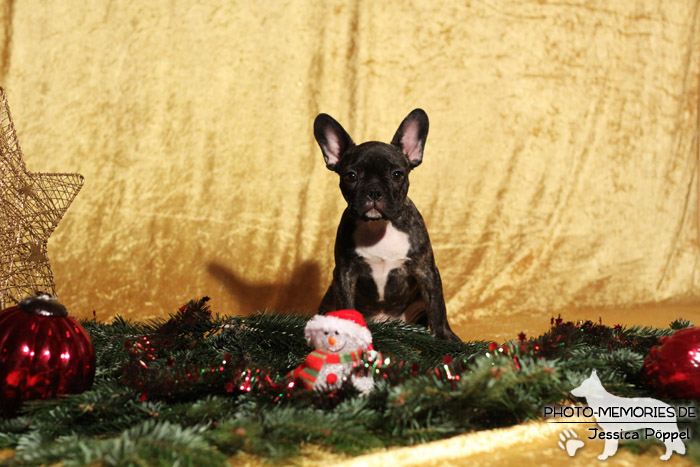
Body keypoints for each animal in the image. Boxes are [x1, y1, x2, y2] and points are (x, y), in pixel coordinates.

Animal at [316, 109, 460, 344]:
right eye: (351, 176)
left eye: (397, 175)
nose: (374, 191)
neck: (379, 226)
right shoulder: (344, 273)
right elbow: (346, 304)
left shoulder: (427, 271)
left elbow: (438, 307)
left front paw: (446, 337)